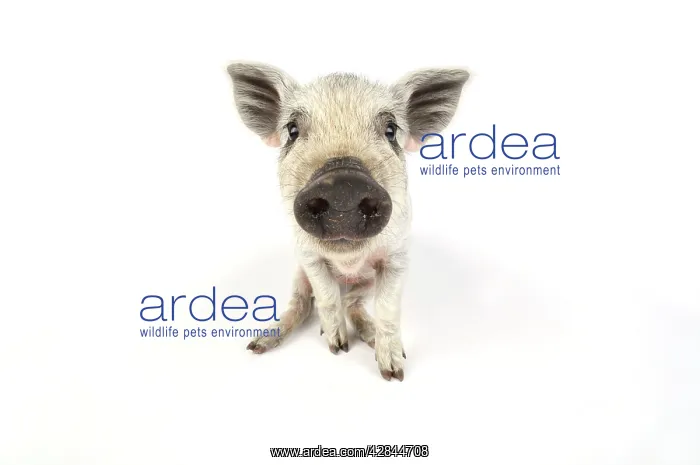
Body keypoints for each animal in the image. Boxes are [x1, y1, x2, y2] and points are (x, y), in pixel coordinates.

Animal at [226, 62, 469, 381]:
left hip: (366, 282)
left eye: (391, 130)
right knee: (303, 303)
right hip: (298, 274)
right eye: (292, 130)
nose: (342, 182)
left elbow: (388, 309)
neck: (348, 262)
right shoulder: (308, 257)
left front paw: (394, 372)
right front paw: (338, 348)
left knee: (352, 302)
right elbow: (327, 297)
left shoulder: (397, 258)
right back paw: (258, 345)